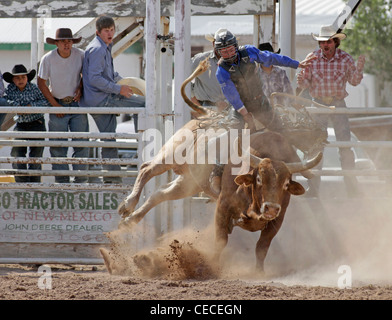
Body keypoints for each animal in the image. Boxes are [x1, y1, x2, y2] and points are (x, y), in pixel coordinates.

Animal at [214, 131, 322, 272]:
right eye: (259, 179)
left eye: (286, 184)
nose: (271, 208)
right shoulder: (222, 206)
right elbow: (220, 240)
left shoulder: (278, 219)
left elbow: (262, 247)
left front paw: (259, 272)